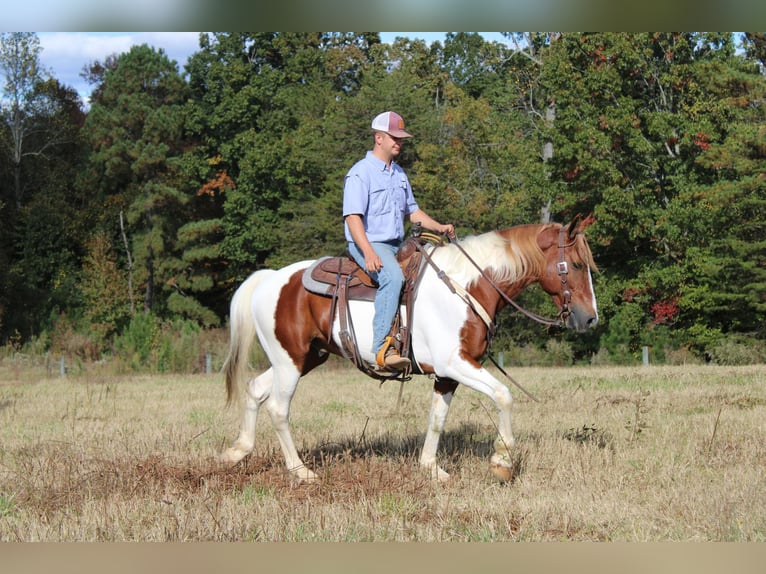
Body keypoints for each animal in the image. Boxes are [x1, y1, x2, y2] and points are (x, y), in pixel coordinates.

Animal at [220, 218, 600, 484]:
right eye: (577, 265)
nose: (591, 318)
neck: (467, 286)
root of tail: (270, 279)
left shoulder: (448, 374)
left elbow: (437, 418)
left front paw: (430, 468)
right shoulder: (456, 363)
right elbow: (503, 396)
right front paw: (502, 462)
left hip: (303, 358)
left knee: (255, 389)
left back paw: (238, 451)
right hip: (290, 361)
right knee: (278, 408)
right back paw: (300, 471)